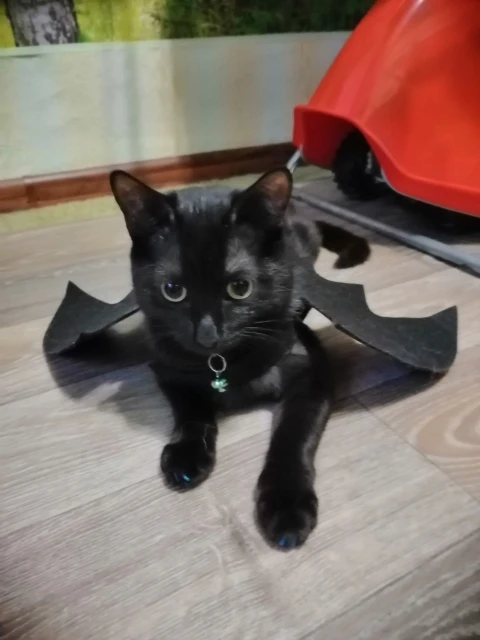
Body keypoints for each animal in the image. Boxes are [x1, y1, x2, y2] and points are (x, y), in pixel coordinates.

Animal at [110, 168, 370, 550]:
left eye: (240, 288)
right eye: (173, 291)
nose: (207, 335)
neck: (224, 361)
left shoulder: (313, 373)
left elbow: (293, 436)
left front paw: (286, 507)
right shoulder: (167, 366)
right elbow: (192, 411)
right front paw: (186, 455)